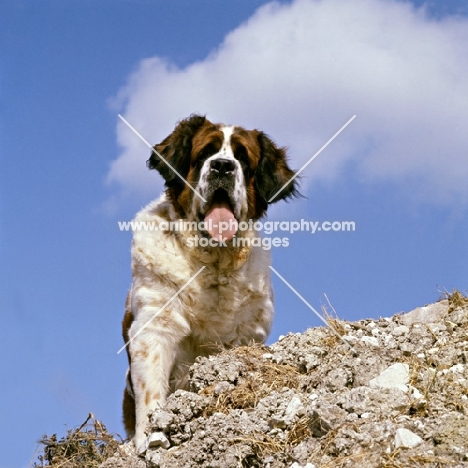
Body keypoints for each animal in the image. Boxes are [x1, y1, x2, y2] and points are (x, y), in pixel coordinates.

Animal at [120, 114, 296, 454]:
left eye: (242, 158)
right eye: (205, 154)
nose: (223, 166)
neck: (211, 264)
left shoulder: (247, 335)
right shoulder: (154, 327)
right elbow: (151, 393)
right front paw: (150, 440)